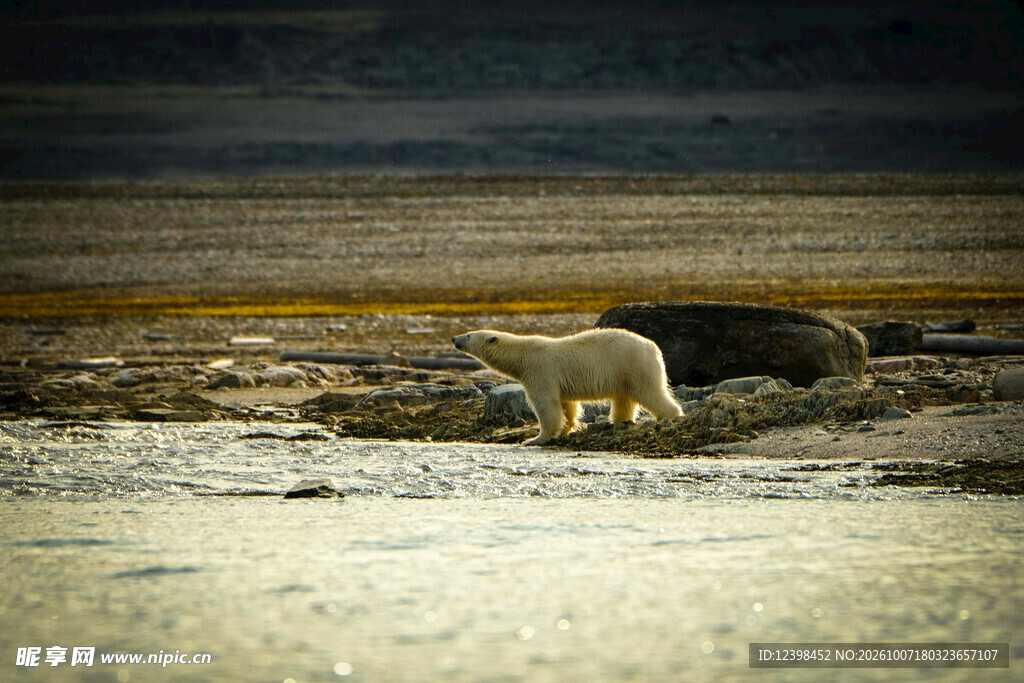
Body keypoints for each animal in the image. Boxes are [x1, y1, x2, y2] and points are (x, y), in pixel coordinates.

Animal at [452, 328, 683, 446]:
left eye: (469, 334)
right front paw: (568, 427)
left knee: (650, 392)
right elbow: (566, 404)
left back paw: (670, 416)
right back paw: (619, 422)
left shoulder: (540, 371)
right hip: (623, 374)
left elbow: (545, 405)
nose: (454, 338)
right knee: (623, 400)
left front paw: (535, 439)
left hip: (634, 365)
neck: (522, 354)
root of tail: (654, 347)